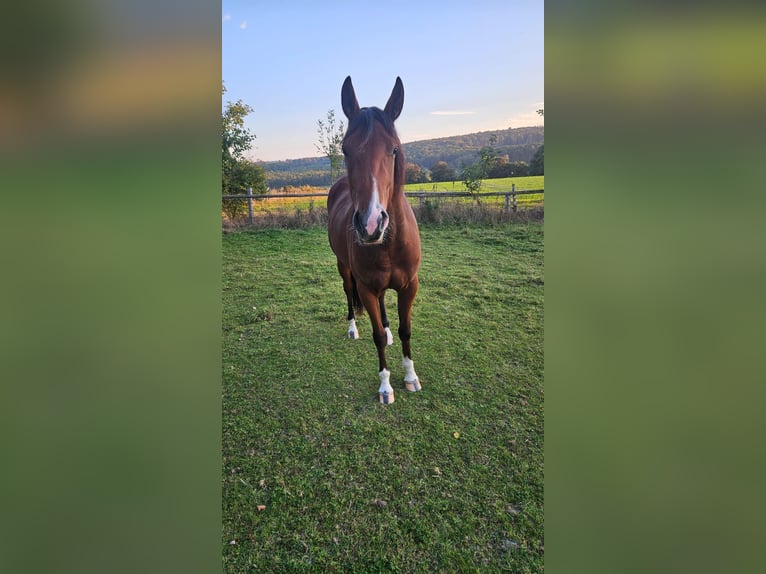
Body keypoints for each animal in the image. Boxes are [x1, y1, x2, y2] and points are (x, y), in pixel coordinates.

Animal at [327, 76, 422, 405]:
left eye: (393, 150)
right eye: (345, 150)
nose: (370, 224)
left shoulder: (409, 286)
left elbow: (407, 330)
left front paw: (411, 377)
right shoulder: (366, 288)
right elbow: (376, 336)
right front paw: (385, 387)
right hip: (343, 267)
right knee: (348, 292)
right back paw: (352, 328)